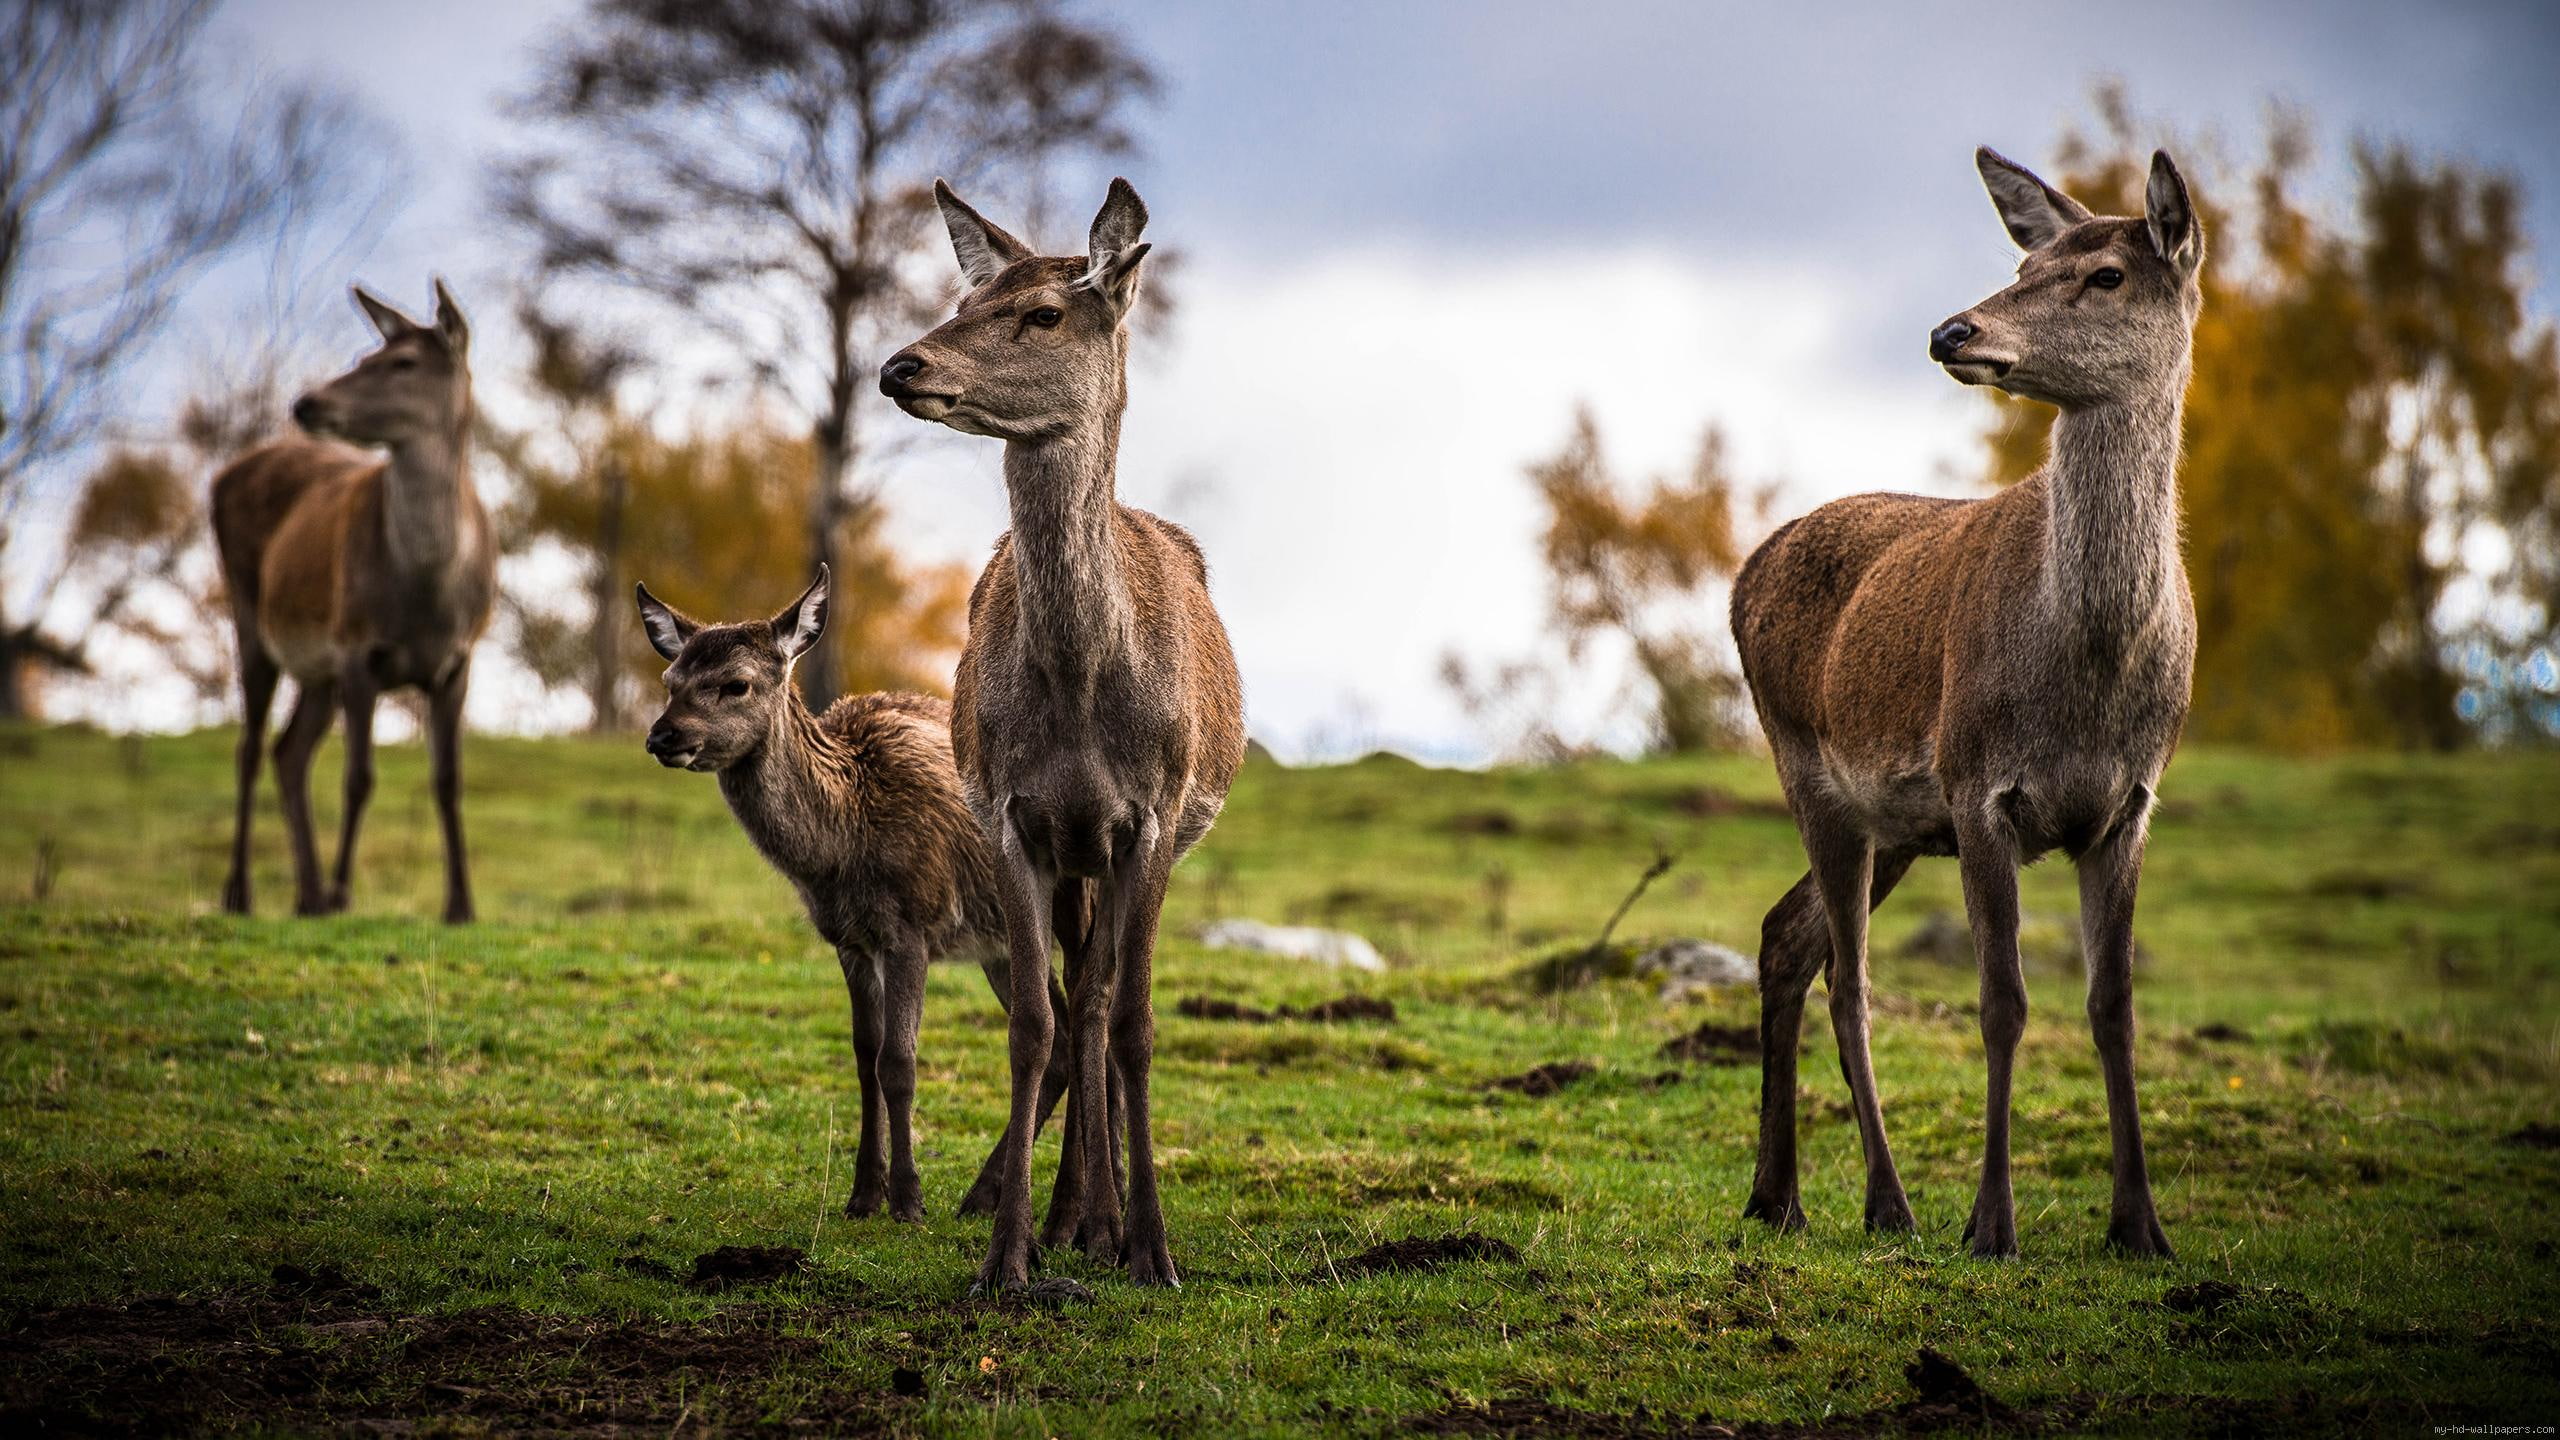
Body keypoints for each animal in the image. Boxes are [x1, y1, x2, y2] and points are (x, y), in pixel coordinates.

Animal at [213, 282, 495, 924]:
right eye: (365, 355)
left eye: (403, 362)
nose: (306, 403)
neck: (424, 593)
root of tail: (223, 475)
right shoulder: (357, 649)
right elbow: (358, 776)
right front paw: (344, 892)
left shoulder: (460, 660)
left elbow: (449, 779)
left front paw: (461, 905)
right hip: (252, 617)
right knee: (249, 747)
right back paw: (242, 893)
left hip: (318, 671)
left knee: (289, 752)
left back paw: (306, 895)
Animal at [634, 568, 1087, 1221]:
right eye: (670, 681)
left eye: (736, 683)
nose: (662, 734)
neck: (843, 845)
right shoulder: (848, 940)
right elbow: (863, 1058)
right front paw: (862, 1195)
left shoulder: (914, 925)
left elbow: (899, 1062)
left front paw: (908, 1199)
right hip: (998, 943)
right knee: (1061, 1038)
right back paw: (981, 1195)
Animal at [879, 177, 1246, 1292]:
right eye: (963, 298)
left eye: (1043, 313)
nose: (901, 365)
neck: (1083, 697)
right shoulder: (1011, 814)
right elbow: (1032, 1024)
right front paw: (1007, 1259)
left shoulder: (1154, 814)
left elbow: (1132, 1021)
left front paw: (1155, 1251)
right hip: (1074, 852)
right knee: (1073, 999)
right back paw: (1072, 1216)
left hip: (1114, 845)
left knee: (1099, 998)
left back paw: (1105, 1220)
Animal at [1729, 147, 2203, 1259]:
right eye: (2024, 264)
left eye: (2106, 274)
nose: (1953, 331)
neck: (2091, 671)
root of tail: (1743, 570)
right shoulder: (1983, 787)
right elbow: (2002, 1003)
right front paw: (1991, 1224)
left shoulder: (2130, 804)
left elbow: (2113, 1005)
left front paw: (2140, 1227)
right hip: (1812, 770)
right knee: (1848, 979)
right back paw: (1887, 1202)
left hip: (1897, 825)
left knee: (1786, 935)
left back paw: (1777, 1196)